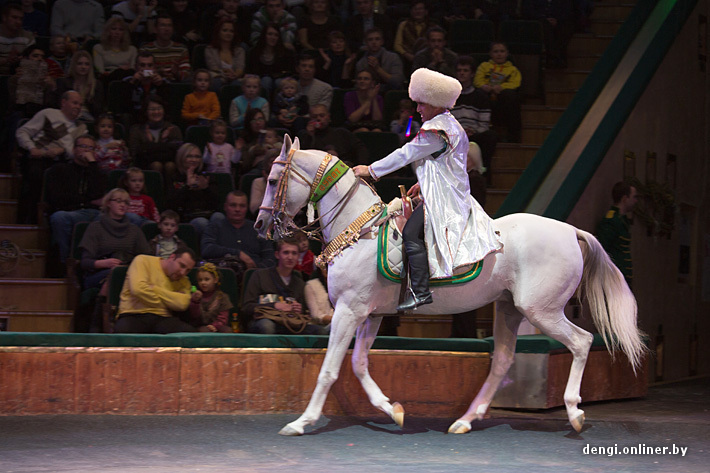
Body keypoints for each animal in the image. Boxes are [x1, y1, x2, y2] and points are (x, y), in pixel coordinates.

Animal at [256, 136, 652, 436]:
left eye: (273, 181)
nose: (260, 225)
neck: (358, 229)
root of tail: (571, 230)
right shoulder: (370, 314)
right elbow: (359, 364)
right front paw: (392, 409)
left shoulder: (348, 312)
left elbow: (329, 369)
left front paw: (302, 422)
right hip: (509, 308)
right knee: (503, 360)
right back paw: (465, 420)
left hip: (541, 310)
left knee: (581, 342)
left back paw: (573, 412)